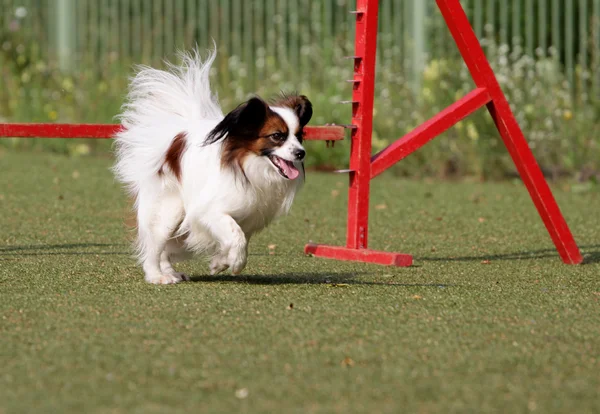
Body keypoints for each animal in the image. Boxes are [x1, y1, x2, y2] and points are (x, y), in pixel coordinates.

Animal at [112, 47, 312, 282]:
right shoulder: (208, 211)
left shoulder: (248, 217)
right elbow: (237, 238)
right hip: (168, 212)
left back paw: (170, 272)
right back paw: (157, 276)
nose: (301, 153)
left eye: (299, 136)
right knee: (155, 245)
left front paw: (220, 262)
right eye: (277, 136)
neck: (248, 166)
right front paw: (235, 263)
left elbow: (238, 238)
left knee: (165, 250)